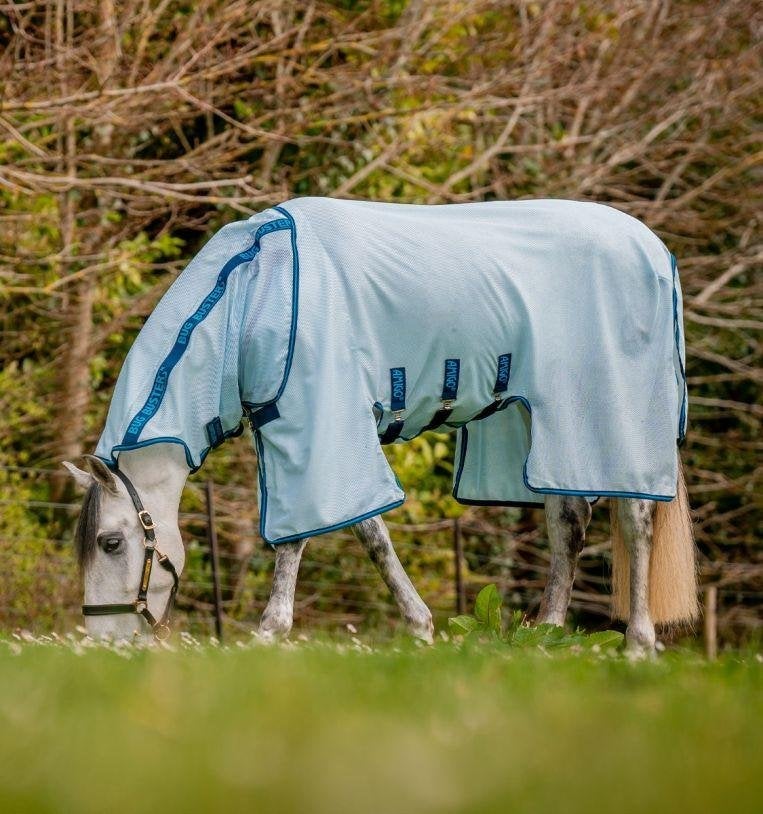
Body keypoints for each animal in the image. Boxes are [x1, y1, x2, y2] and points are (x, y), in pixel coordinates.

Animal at [64, 197, 698, 655]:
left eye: (111, 542)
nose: (104, 646)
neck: (255, 294)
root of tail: (655, 250)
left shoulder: (326, 424)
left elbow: (326, 535)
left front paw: (274, 631)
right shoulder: (294, 429)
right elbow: (356, 533)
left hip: (611, 419)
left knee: (636, 519)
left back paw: (639, 645)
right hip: (537, 424)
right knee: (569, 522)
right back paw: (547, 633)